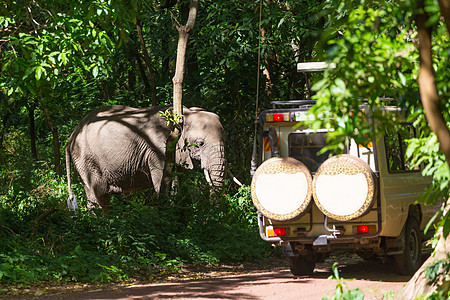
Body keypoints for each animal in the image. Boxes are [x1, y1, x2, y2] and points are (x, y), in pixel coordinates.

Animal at [65, 105, 227, 211]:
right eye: (200, 144)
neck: (185, 114)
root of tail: (71, 136)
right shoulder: (159, 149)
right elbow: (165, 184)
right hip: (85, 158)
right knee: (98, 194)